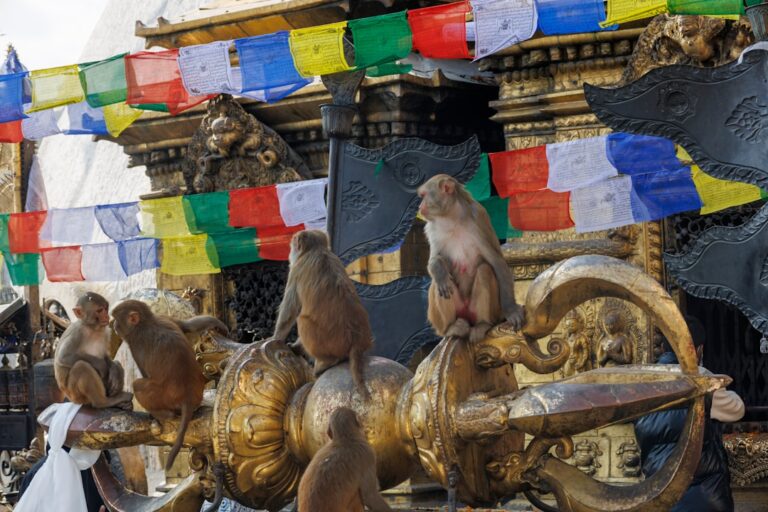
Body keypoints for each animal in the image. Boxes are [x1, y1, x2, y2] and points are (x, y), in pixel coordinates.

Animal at [110, 300, 220, 471]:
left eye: (117, 319)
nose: (114, 325)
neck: (146, 322)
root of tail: (187, 398)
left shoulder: (136, 344)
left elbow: (145, 374)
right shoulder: (164, 317)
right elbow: (187, 326)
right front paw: (218, 325)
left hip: (162, 397)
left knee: (138, 385)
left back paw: (162, 415)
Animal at [272, 230, 372, 398]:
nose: (290, 251)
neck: (317, 249)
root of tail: (357, 340)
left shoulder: (296, 270)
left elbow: (290, 310)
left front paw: (276, 338)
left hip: (326, 343)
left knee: (302, 319)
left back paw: (326, 362)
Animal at [418, 174, 525, 343]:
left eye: (423, 196)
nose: (420, 207)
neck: (451, 217)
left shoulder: (478, 219)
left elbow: (497, 262)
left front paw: (511, 310)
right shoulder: (431, 228)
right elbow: (434, 261)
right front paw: (439, 268)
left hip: (489, 311)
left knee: (485, 270)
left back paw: (482, 324)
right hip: (454, 313)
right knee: (439, 283)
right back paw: (451, 328)